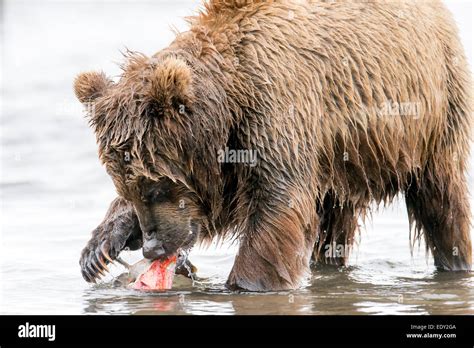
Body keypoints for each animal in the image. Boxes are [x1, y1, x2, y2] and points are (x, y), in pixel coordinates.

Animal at [74, 0, 470, 290]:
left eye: (156, 187)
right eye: (129, 187)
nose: (153, 247)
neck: (229, 100)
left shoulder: (277, 111)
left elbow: (277, 203)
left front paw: (245, 283)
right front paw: (98, 249)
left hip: (432, 111)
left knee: (442, 200)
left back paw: (455, 260)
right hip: (342, 158)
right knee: (334, 222)